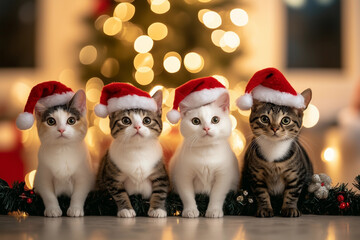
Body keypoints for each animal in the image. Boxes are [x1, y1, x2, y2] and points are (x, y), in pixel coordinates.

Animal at [33, 90, 94, 218]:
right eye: (51, 121)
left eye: (71, 120)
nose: (61, 129)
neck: (63, 149)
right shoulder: (43, 177)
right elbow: (49, 195)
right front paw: (53, 210)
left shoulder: (84, 176)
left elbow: (78, 194)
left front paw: (75, 209)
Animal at [95, 90, 169, 218]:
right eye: (126, 120)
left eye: (147, 120)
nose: (137, 126)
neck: (137, 149)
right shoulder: (112, 176)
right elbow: (120, 193)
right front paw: (126, 209)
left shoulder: (160, 172)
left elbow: (160, 191)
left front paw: (157, 209)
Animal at [240, 88, 314, 218]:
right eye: (264, 119)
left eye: (286, 120)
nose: (274, 128)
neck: (274, 150)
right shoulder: (256, 176)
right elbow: (261, 194)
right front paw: (265, 209)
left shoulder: (296, 175)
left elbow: (292, 193)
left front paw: (289, 208)